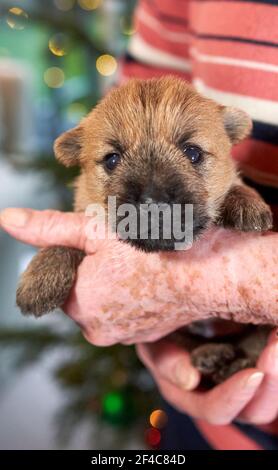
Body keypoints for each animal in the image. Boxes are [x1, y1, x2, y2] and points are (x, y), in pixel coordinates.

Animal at [16, 77, 274, 384]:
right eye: (112, 159)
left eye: (193, 152)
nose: (154, 203)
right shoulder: (82, 214)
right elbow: (64, 237)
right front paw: (40, 278)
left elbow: (237, 184)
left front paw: (246, 203)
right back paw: (211, 353)